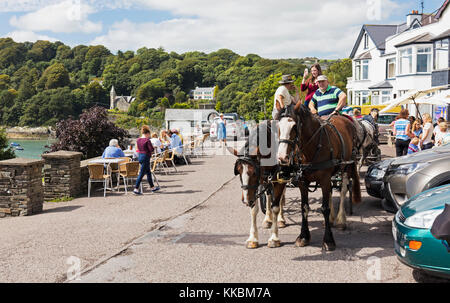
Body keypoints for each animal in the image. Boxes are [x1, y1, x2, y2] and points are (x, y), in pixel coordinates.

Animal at [274, 103, 362, 251]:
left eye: (294, 126)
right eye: (278, 126)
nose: (281, 158)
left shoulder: (325, 179)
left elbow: (325, 208)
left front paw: (328, 240)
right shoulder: (303, 182)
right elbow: (304, 207)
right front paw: (304, 236)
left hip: (345, 166)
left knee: (343, 191)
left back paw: (340, 220)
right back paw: (331, 219)